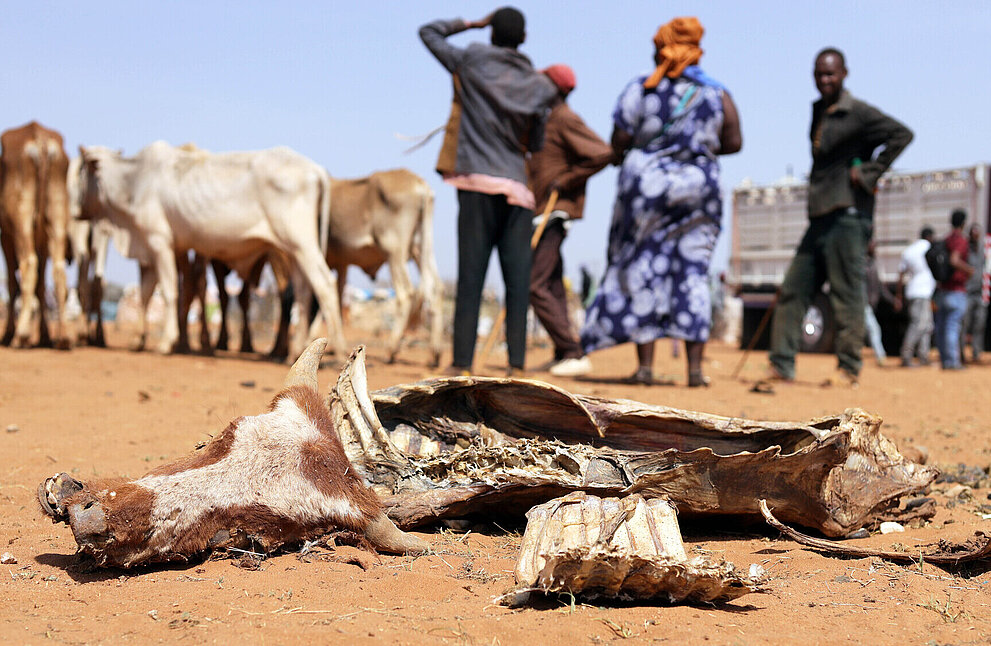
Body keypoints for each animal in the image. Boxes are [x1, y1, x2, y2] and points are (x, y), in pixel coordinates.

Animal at [0, 121, 73, 349]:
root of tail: (40, 140)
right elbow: (40, 287)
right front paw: (45, 335)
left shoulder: (5, 238)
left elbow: (13, 284)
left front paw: (9, 333)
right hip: (57, 218)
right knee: (58, 271)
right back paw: (63, 337)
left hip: (20, 220)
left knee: (28, 265)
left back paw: (21, 335)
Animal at [77, 141, 349, 360]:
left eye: (81, 170)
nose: (76, 211)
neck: (134, 181)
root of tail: (316, 170)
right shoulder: (153, 250)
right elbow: (144, 295)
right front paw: (138, 340)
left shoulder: (160, 243)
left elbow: (169, 292)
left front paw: (166, 342)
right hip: (293, 252)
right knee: (303, 291)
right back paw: (296, 350)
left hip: (302, 243)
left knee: (324, 284)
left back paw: (339, 347)